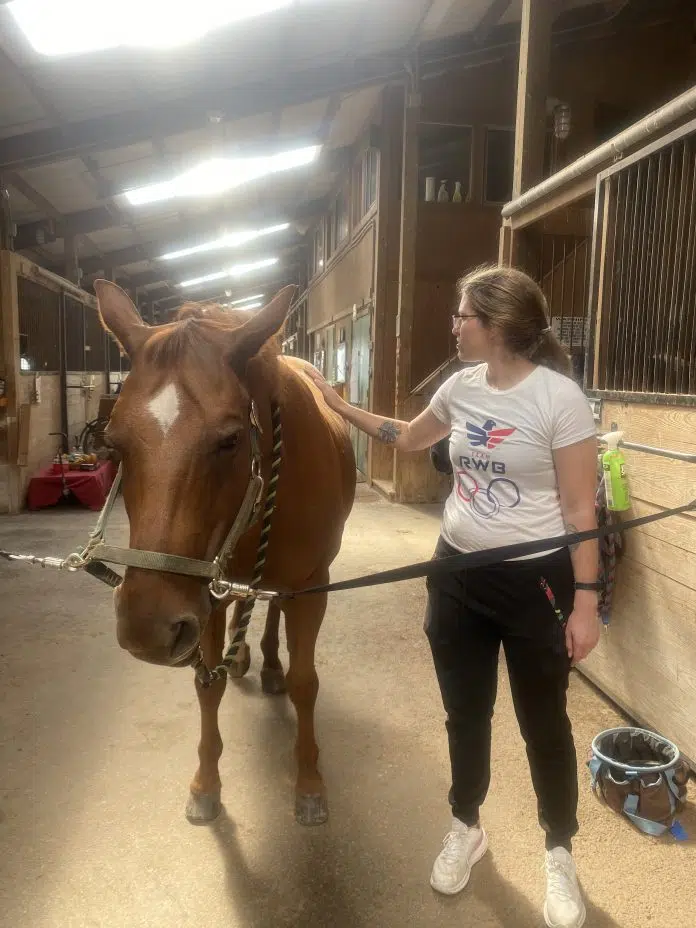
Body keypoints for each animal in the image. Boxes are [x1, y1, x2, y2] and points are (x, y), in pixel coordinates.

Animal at [95, 282, 356, 828]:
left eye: (231, 440)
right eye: (113, 444)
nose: (147, 628)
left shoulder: (311, 587)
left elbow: (306, 683)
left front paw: (310, 784)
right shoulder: (204, 595)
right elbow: (206, 686)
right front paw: (205, 786)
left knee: (274, 610)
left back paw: (271, 664)